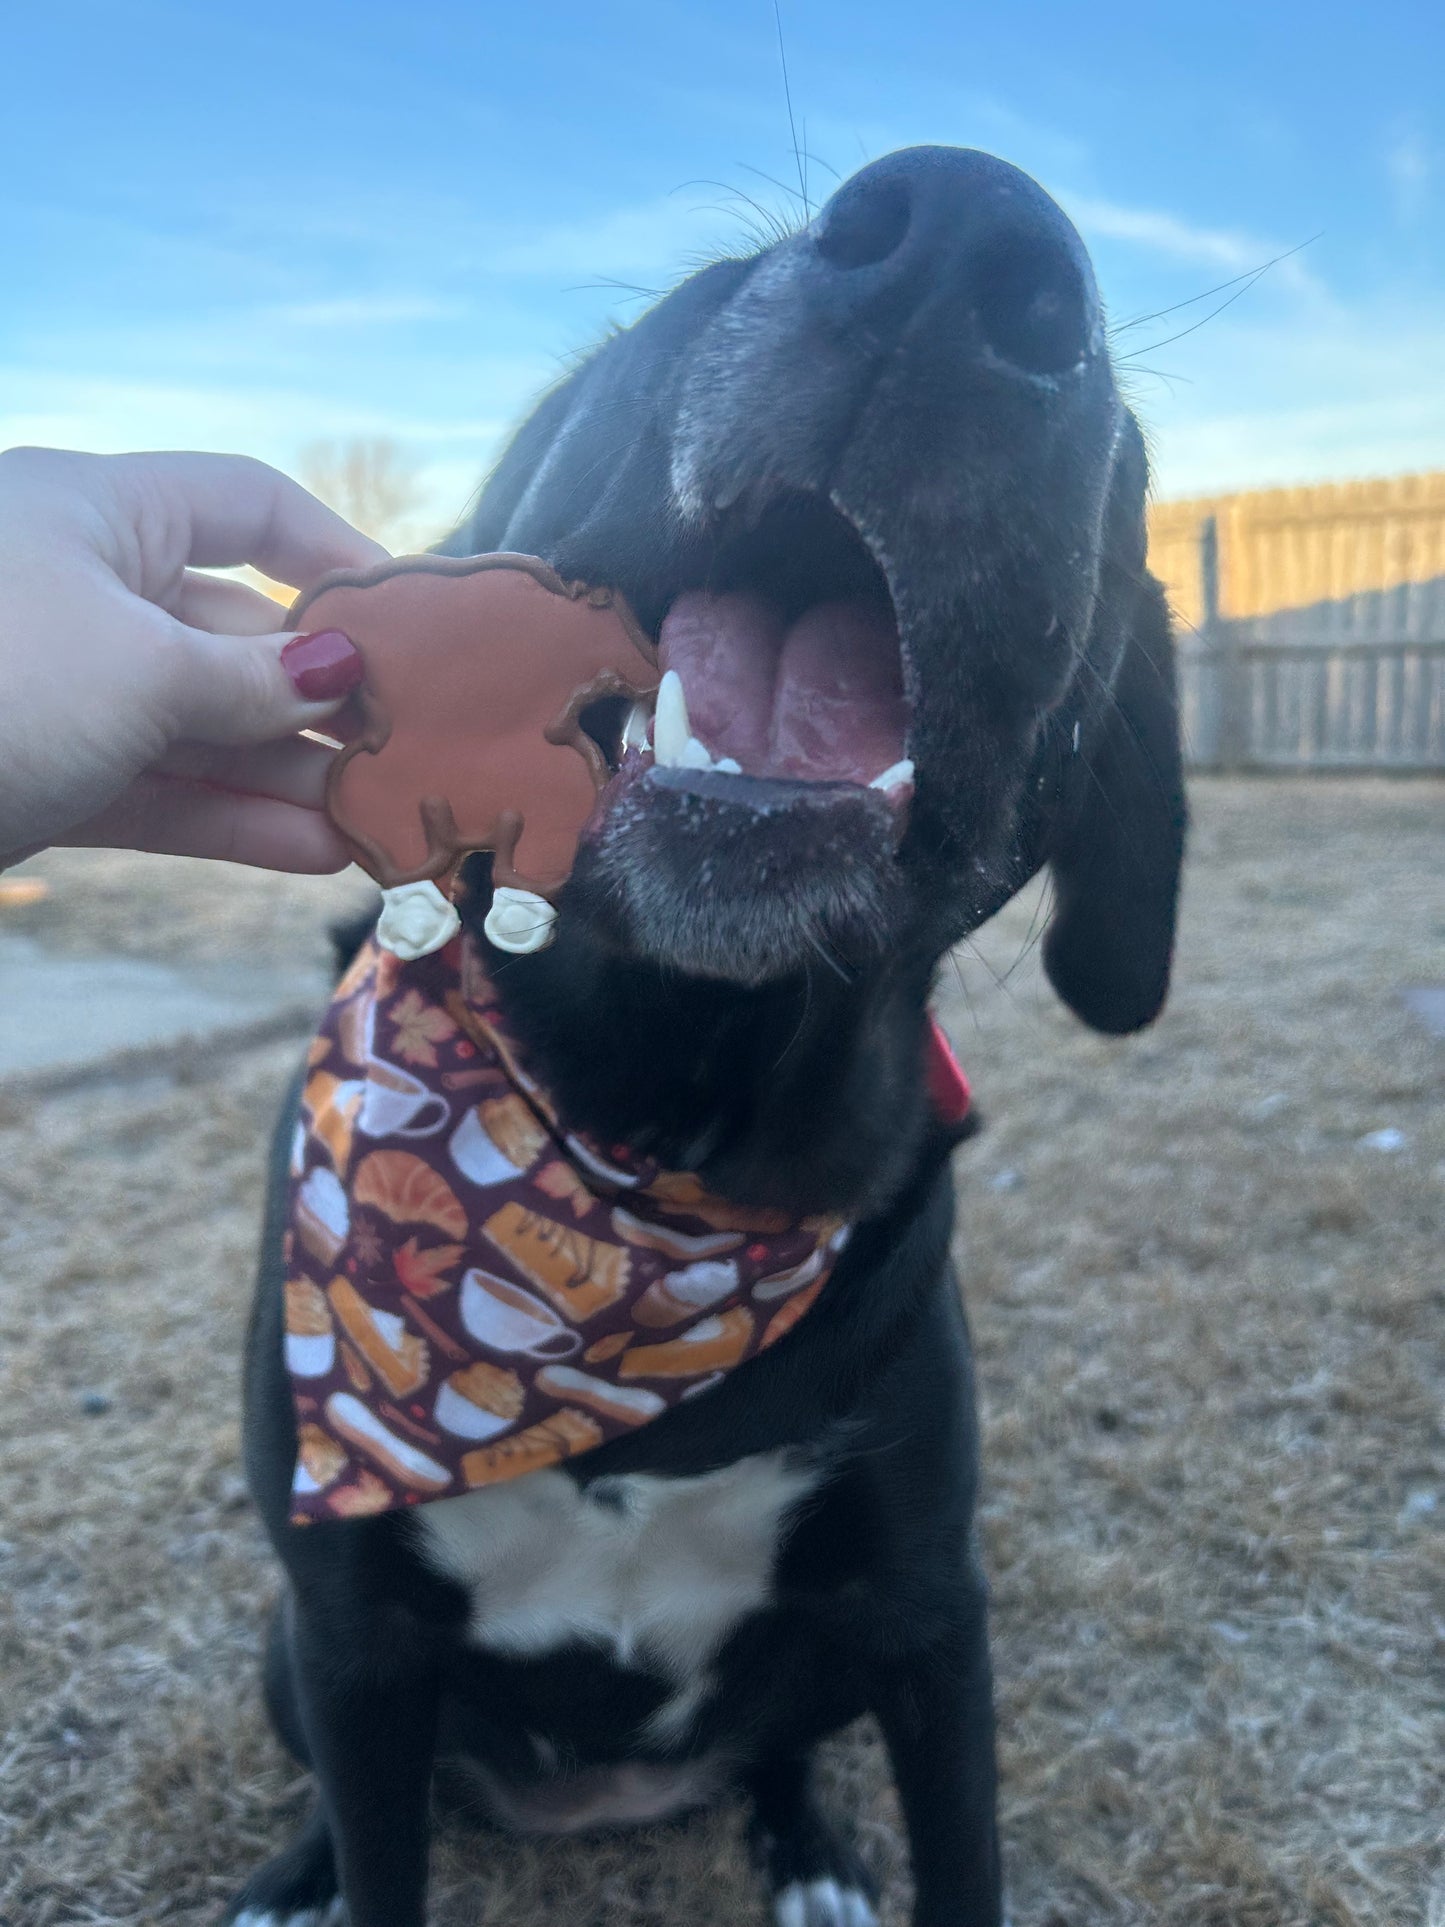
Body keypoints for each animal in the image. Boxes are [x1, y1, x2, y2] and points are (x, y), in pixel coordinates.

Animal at [229, 142, 1186, 1919]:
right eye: (656, 330)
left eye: (1126, 468)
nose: (967, 235)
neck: (660, 1113)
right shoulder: (350, 1629)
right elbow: (381, 1839)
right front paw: (329, 1865)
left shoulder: (929, 1610)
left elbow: (964, 1852)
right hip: (284, 1652)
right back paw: (291, 1866)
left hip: (825, 1659)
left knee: (779, 1747)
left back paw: (805, 1849)